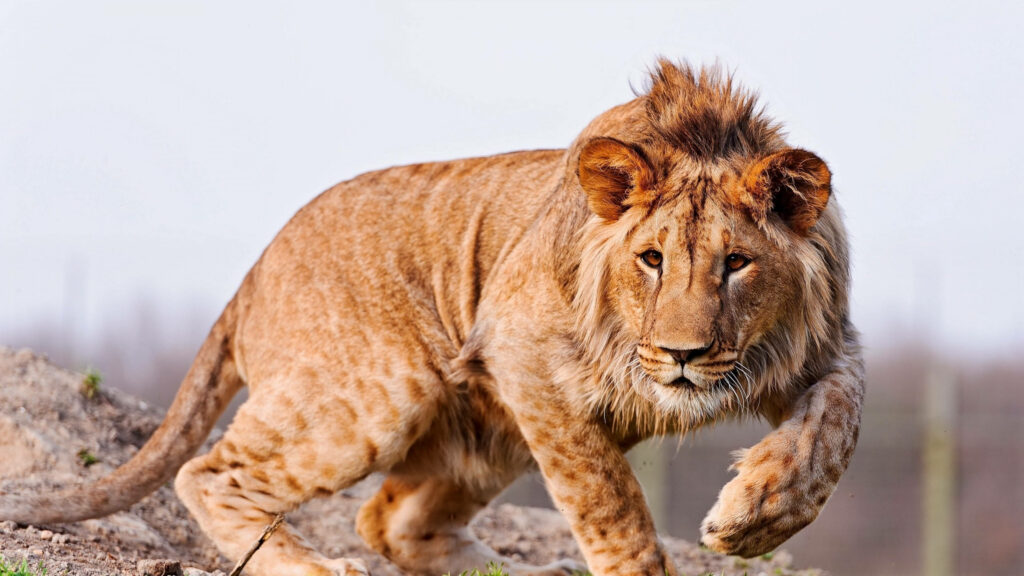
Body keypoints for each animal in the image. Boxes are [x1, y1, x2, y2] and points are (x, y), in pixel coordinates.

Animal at [0, 60, 863, 576]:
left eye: (737, 264)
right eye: (651, 259)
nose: (683, 354)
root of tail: (254, 273)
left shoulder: (825, 346)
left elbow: (835, 430)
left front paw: (756, 517)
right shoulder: (525, 356)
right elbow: (609, 499)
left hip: (484, 435)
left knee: (389, 521)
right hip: (388, 391)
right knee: (211, 474)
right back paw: (316, 569)